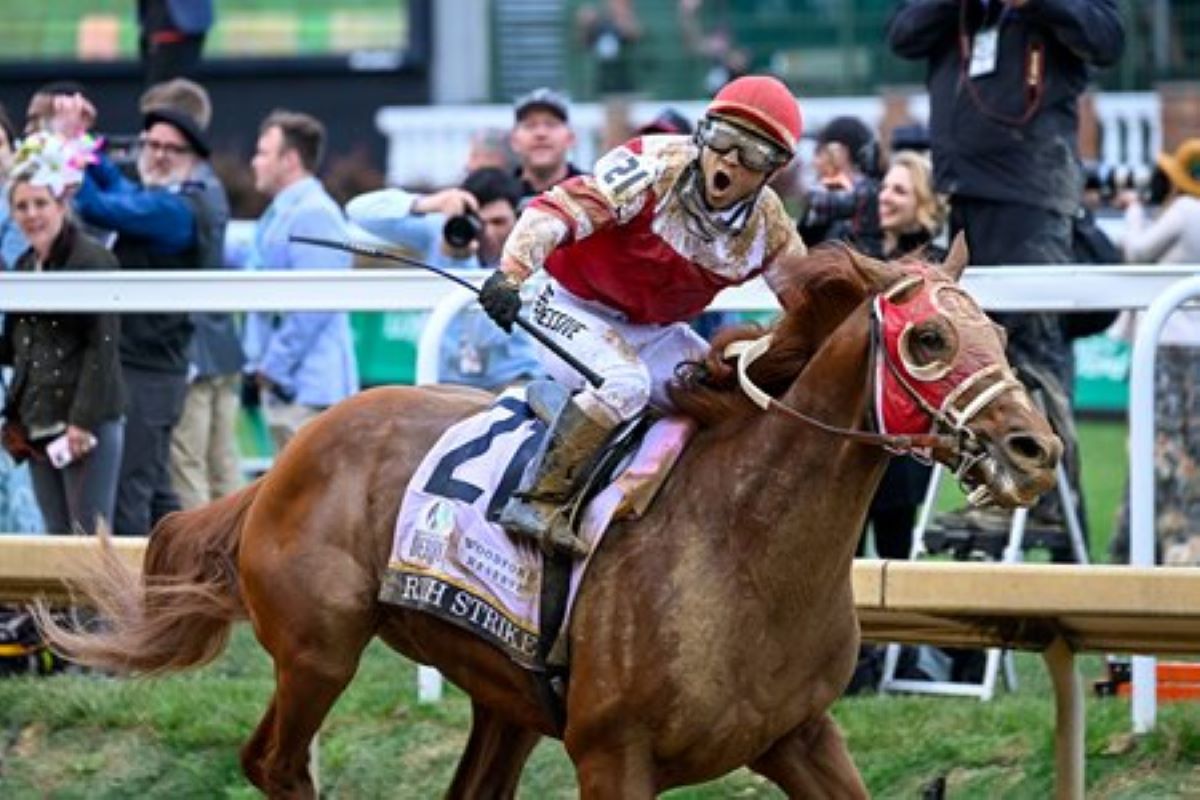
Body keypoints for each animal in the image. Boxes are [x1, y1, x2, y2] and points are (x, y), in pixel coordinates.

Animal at [42, 239, 1060, 800]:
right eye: (928, 338)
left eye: (1001, 334)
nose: (1035, 449)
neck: (743, 547)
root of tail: (293, 455)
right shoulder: (615, 759)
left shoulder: (799, 737)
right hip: (317, 648)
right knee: (275, 765)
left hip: (505, 698)